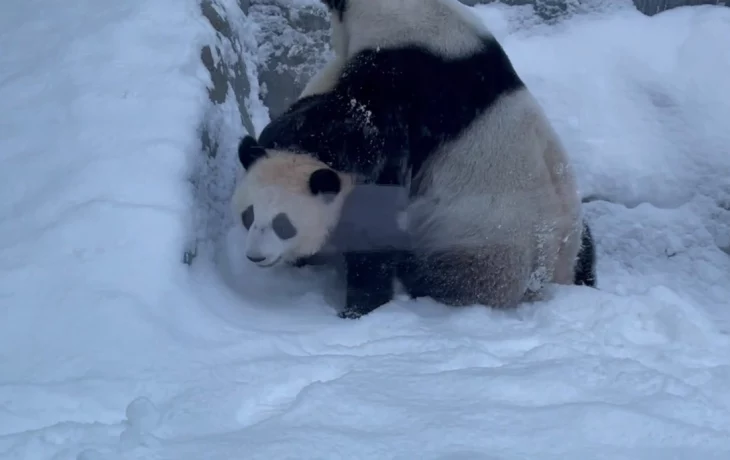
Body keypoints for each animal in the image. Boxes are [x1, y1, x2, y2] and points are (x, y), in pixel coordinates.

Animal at [230, 0, 596, 320]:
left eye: (283, 225)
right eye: (247, 216)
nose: (257, 256)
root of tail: (546, 286)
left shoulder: (408, 84)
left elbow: (367, 147)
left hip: (475, 252)